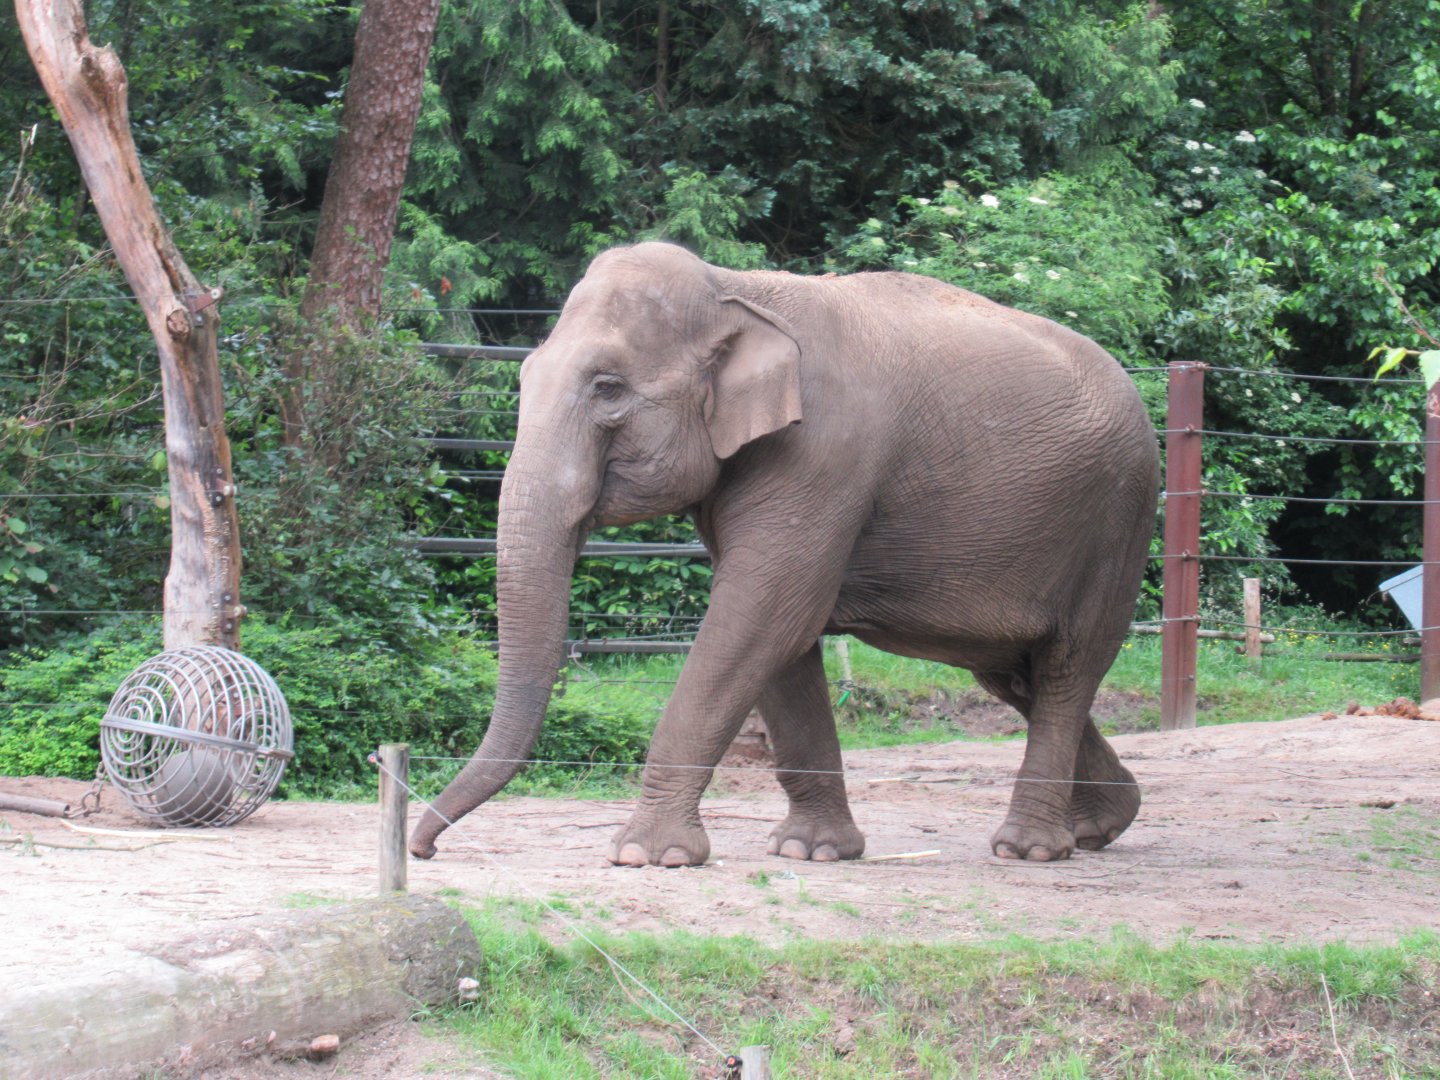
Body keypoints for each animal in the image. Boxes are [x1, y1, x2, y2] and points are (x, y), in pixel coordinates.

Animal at [409, 241, 1160, 867]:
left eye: (607, 386)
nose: (425, 849)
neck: (735, 289)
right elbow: (781, 636)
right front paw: (811, 851)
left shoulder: (822, 456)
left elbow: (764, 613)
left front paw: (647, 857)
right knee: (1013, 676)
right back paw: (1103, 824)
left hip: (1119, 521)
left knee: (1067, 668)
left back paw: (1028, 849)